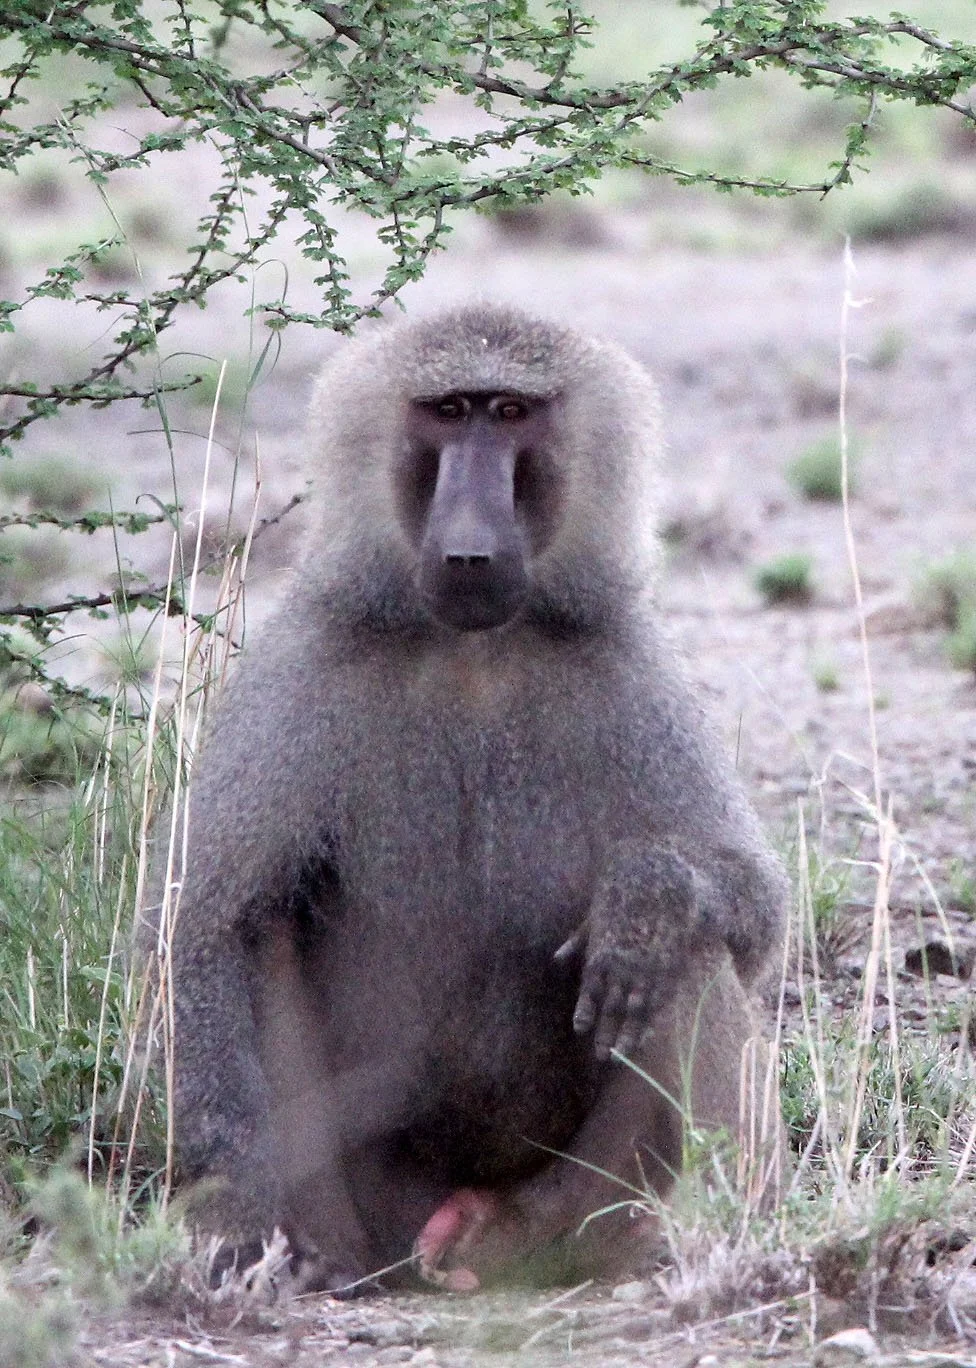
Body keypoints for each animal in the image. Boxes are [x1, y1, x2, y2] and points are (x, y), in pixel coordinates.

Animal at [143, 302, 789, 1295]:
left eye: (511, 413)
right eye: (448, 411)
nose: (471, 550)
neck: (472, 648)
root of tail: (467, 1227)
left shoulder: (623, 661)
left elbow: (748, 911)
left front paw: (649, 900)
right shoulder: (310, 659)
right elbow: (211, 920)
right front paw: (241, 1223)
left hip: (579, 1208)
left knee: (685, 959)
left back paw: (688, 1237)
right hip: (366, 1205)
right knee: (265, 937)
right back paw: (315, 1259)